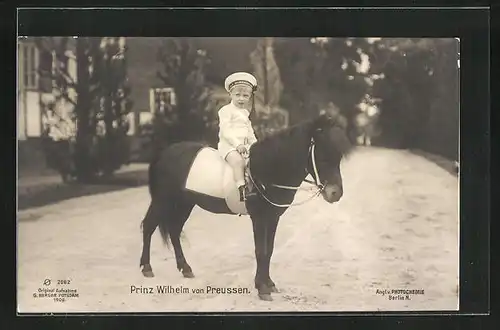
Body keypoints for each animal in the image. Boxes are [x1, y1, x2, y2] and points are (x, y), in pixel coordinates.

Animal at [139, 113, 354, 302]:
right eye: (323, 156)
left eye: (339, 157)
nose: (335, 193)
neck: (267, 169)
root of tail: (165, 153)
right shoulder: (258, 217)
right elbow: (260, 251)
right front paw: (262, 288)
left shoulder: (273, 217)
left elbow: (269, 250)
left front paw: (269, 284)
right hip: (163, 200)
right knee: (149, 226)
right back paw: (147, 268)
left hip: (185, 203)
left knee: (174, 231)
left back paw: (185, 268)